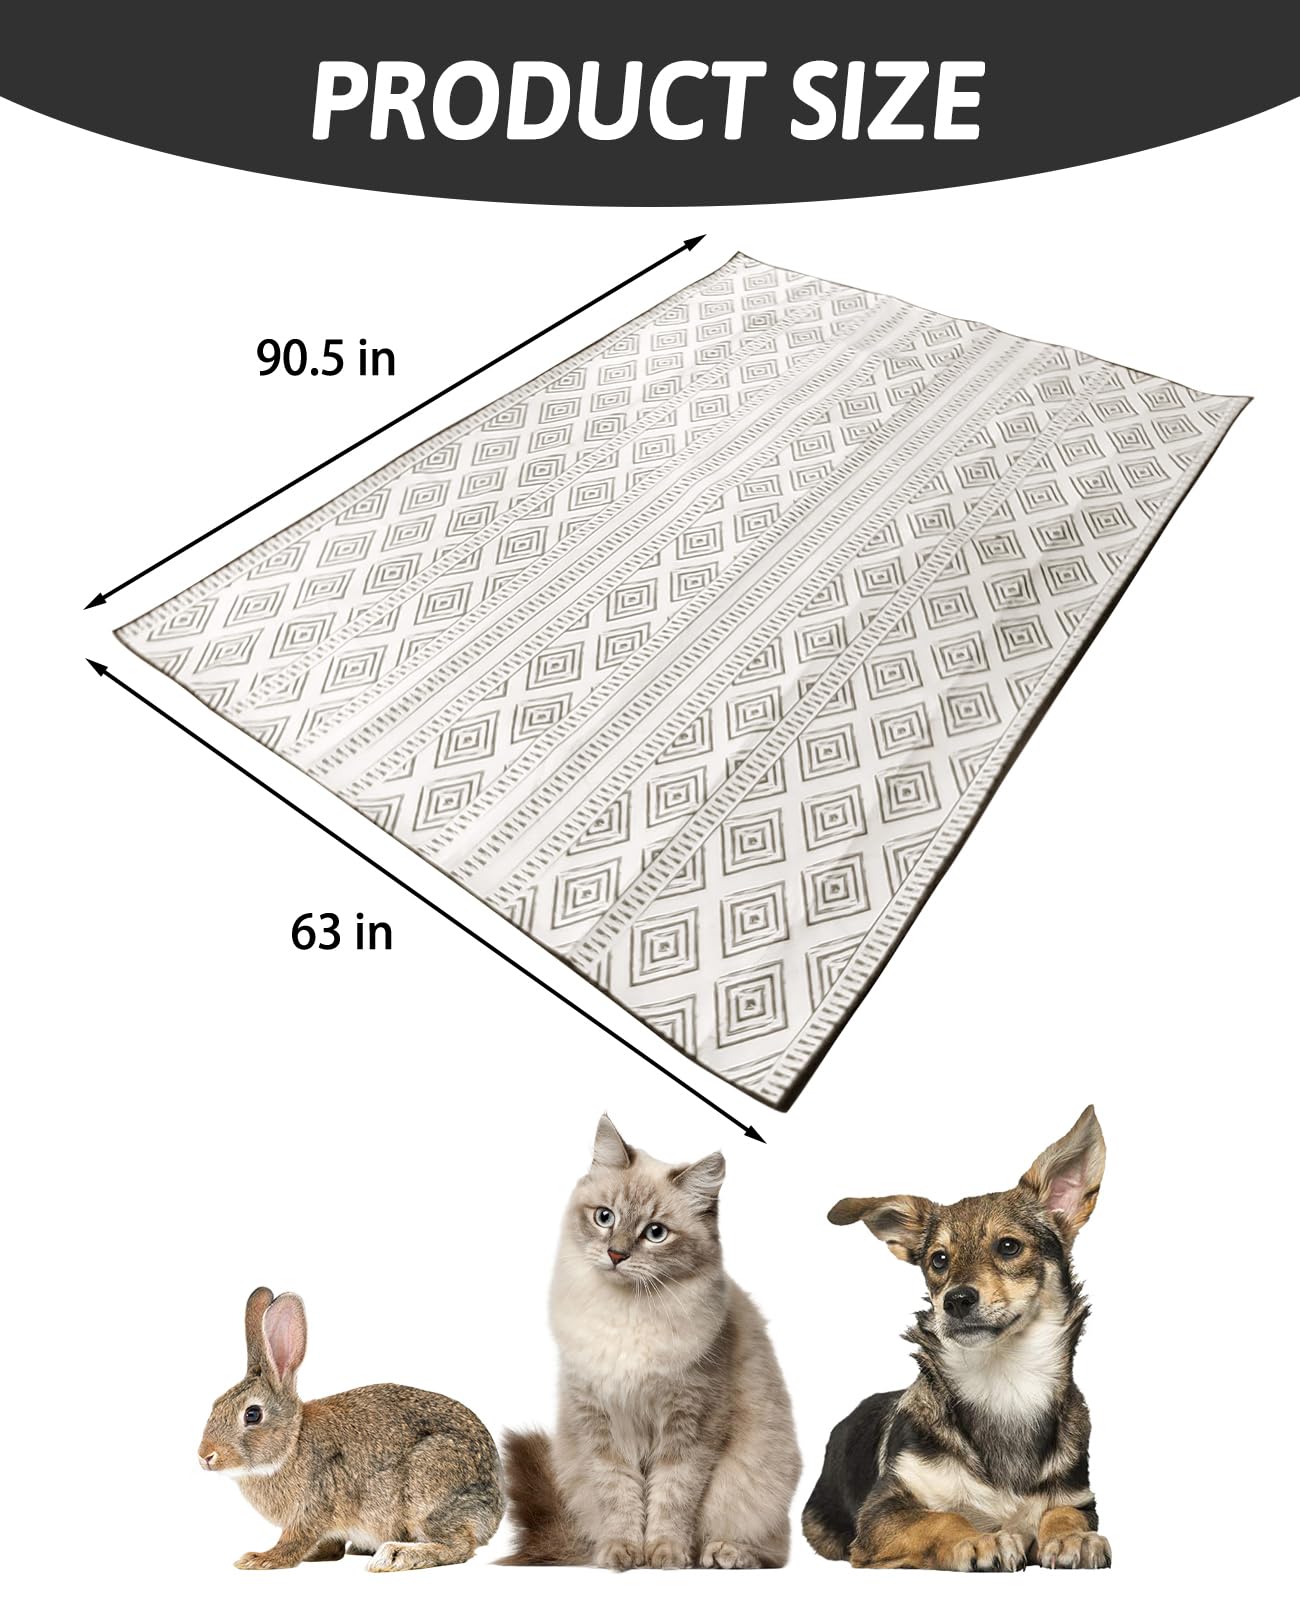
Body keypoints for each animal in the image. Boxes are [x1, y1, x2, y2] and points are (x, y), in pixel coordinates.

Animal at [197, 1287, 503, 1571]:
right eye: (215, 1404)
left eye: (252, 1414)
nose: (205, 1456)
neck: (292, 1444)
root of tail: (495, 1510)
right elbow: (330, 1547)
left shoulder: (313, 1507)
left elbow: (294, 1541)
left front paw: (259, 1559)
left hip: (428, 1489)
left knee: (459, 1546)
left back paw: (395, 1555)